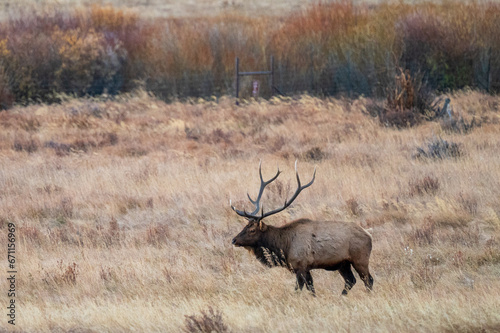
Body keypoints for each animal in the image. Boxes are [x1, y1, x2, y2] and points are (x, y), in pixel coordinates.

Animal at [229, 162, 372, 294]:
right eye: (245, 226)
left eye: (252, 230)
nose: (234, 240)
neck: (284, 246)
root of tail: (369, 235)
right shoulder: (305, 268)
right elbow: (311, 289)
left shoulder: (300, 266)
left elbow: (298, 289)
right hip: (343, 264)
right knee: (350, 280)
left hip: (360, 259)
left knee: (368, 280)